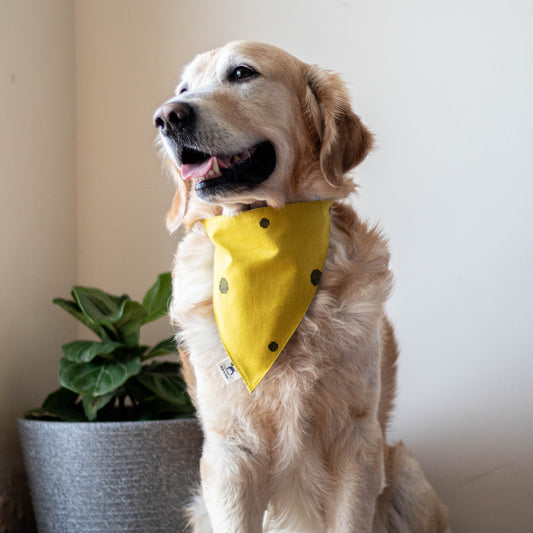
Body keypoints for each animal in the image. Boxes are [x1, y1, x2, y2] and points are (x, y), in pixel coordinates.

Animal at [154, 40, 448, 532]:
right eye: (183, 88)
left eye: (241, 73)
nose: (166, 116)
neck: (267, 238)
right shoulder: (229, 456)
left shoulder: (357, 444)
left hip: (407, 477)